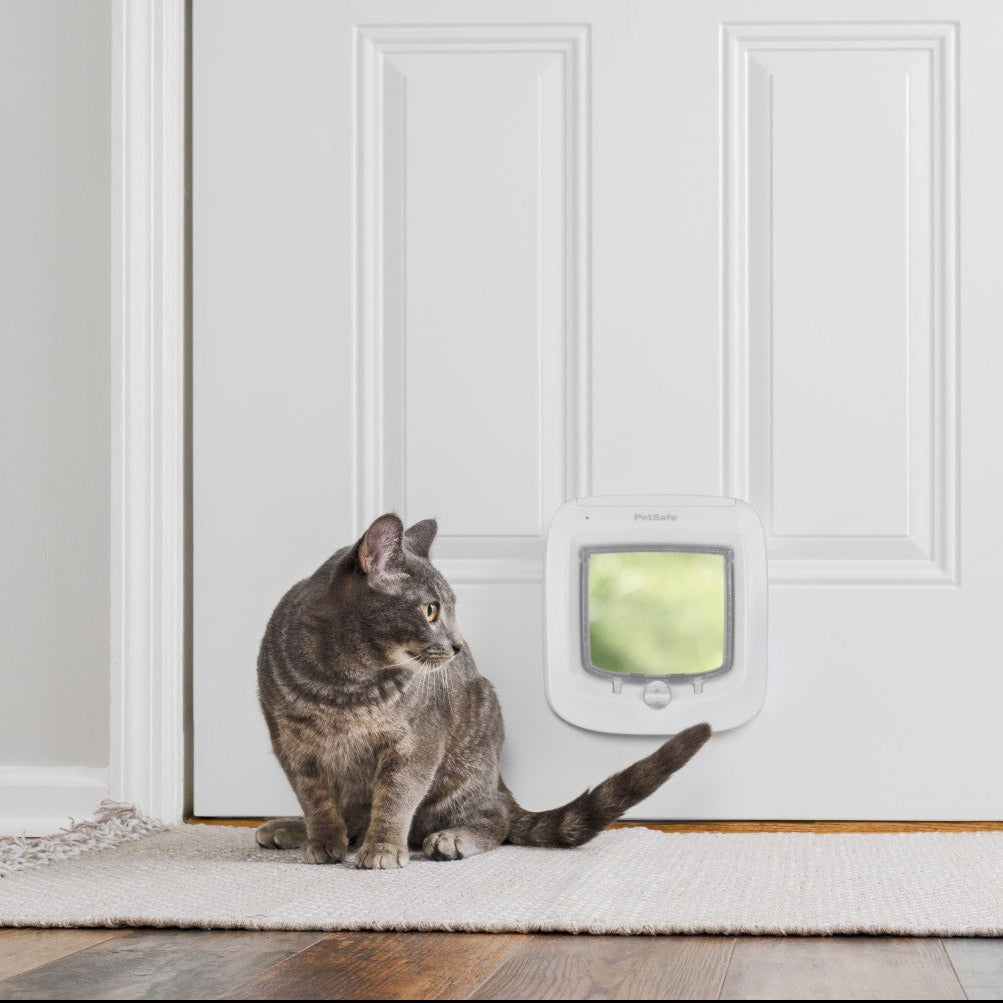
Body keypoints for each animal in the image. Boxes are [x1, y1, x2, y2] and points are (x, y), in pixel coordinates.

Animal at [258, 513, 714, 866]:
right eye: (430, 610)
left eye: (450, 609)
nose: (459, 645)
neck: (344, 683)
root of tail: (499, 780)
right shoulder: (289, 743)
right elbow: (315, 798)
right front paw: (322, 840)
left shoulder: (417, 743)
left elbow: (395, 798)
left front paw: (383, 848)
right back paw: (291, 828)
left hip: (465, 761)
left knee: (496, 819)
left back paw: (451, 838)